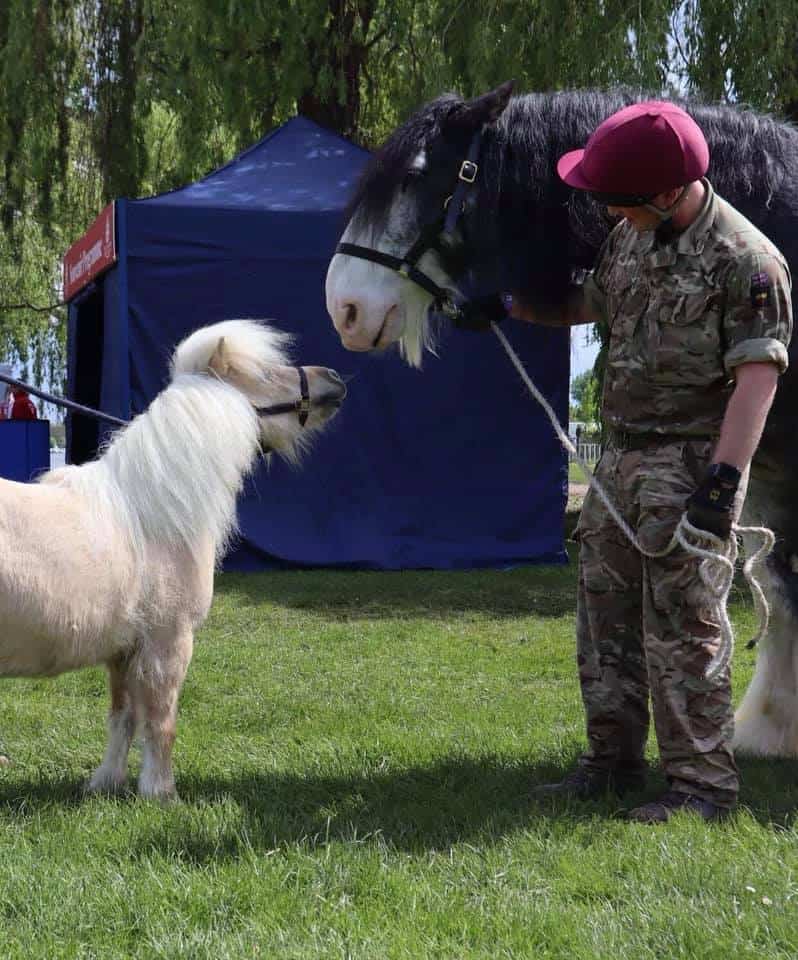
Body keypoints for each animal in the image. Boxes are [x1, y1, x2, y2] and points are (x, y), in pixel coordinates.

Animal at [0, 318, 346, 800]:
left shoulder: (123, 651)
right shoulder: (169, 642)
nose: (333, 377)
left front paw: (105, 784)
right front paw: (161, 793)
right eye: (265, 373)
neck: (152, 512)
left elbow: (122, 718)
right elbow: (161, 723)